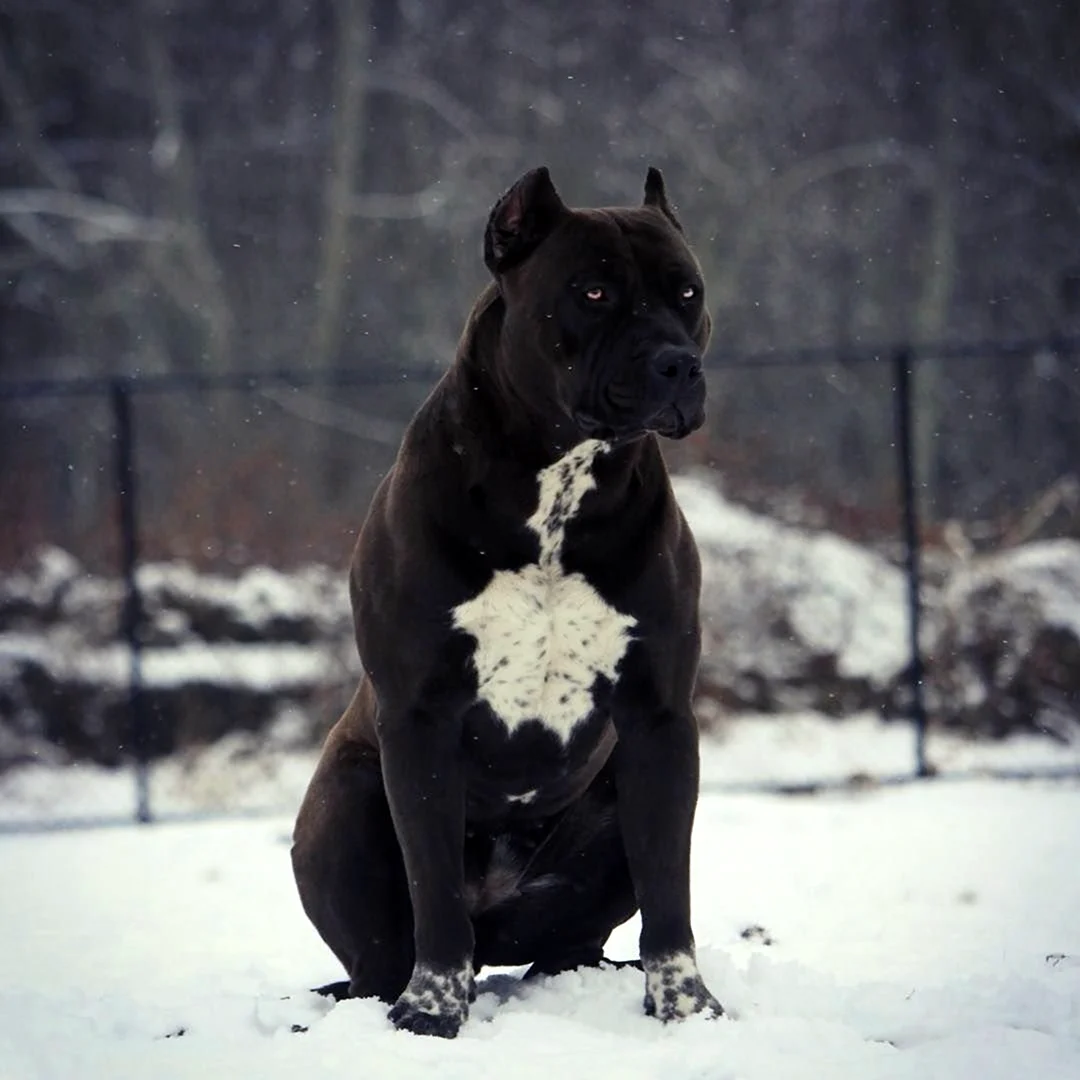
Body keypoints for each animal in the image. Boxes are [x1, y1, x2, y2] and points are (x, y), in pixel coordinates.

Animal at [291, 166, 721, 1036]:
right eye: (593, 291)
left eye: (687, 292)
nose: (677, 364)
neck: (559, 485)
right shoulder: (420, 719)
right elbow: (434, 896)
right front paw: (431, 1016)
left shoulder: (661, 721)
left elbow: (671, 892)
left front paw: (686, 1008)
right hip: (347, 799)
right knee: (381, 959)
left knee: (573, 941)